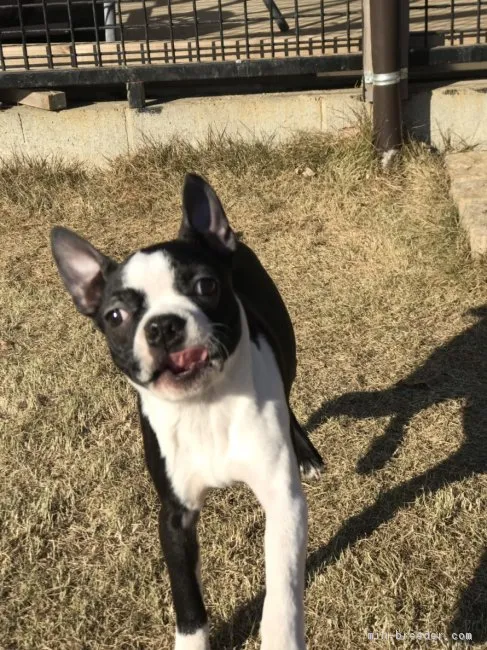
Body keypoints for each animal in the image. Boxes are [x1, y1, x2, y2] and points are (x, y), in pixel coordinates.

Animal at [51, 172, 324, 648]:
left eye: (205, 286)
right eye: (115, 316)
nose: (163, 325)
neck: (205, 407)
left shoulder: (283, 503)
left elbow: (283, 586)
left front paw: (280, 636)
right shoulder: (174, 517)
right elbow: (187, 596)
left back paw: (306, 454)